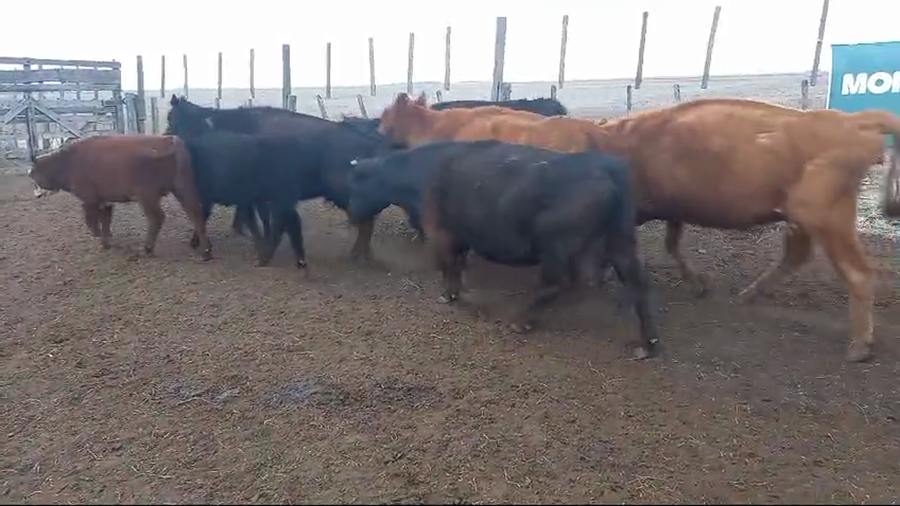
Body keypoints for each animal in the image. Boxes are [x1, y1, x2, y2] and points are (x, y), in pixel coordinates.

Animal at [347, 139, 660, 360]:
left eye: (358, 183)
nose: (351, 213)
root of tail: (604, 165)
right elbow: (458, 263)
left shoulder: (444, 233)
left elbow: (448, 264)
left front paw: (449, 294)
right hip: (619, 241)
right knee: (637, 283)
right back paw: (648, 343)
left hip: (556, 245)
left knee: (558, 283)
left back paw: (521, 321)